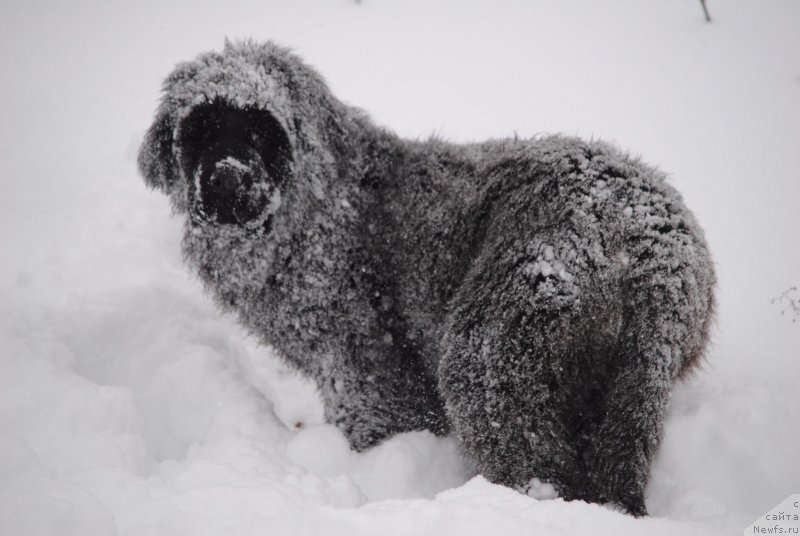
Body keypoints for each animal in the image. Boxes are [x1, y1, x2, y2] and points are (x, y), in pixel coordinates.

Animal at [136, 40, 712, 516]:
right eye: (200, 131)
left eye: (262, 131)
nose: (226, 181)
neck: (321, 202)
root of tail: (641, 239)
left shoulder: (361, 362)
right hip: (631, 374)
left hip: (495, 348)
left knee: (526, 450)